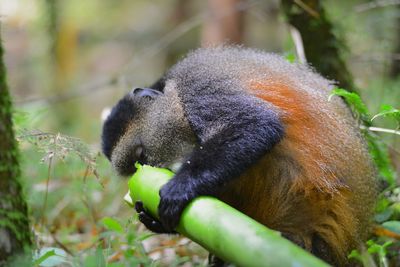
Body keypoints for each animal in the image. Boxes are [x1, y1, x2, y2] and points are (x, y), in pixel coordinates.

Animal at [101, 46, 376, 267]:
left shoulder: (197, 84)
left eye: (142, 156)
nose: (158, 169)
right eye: (139, 165)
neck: (173, 94)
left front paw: (180, 188)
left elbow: (256, 125)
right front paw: (153, 220)